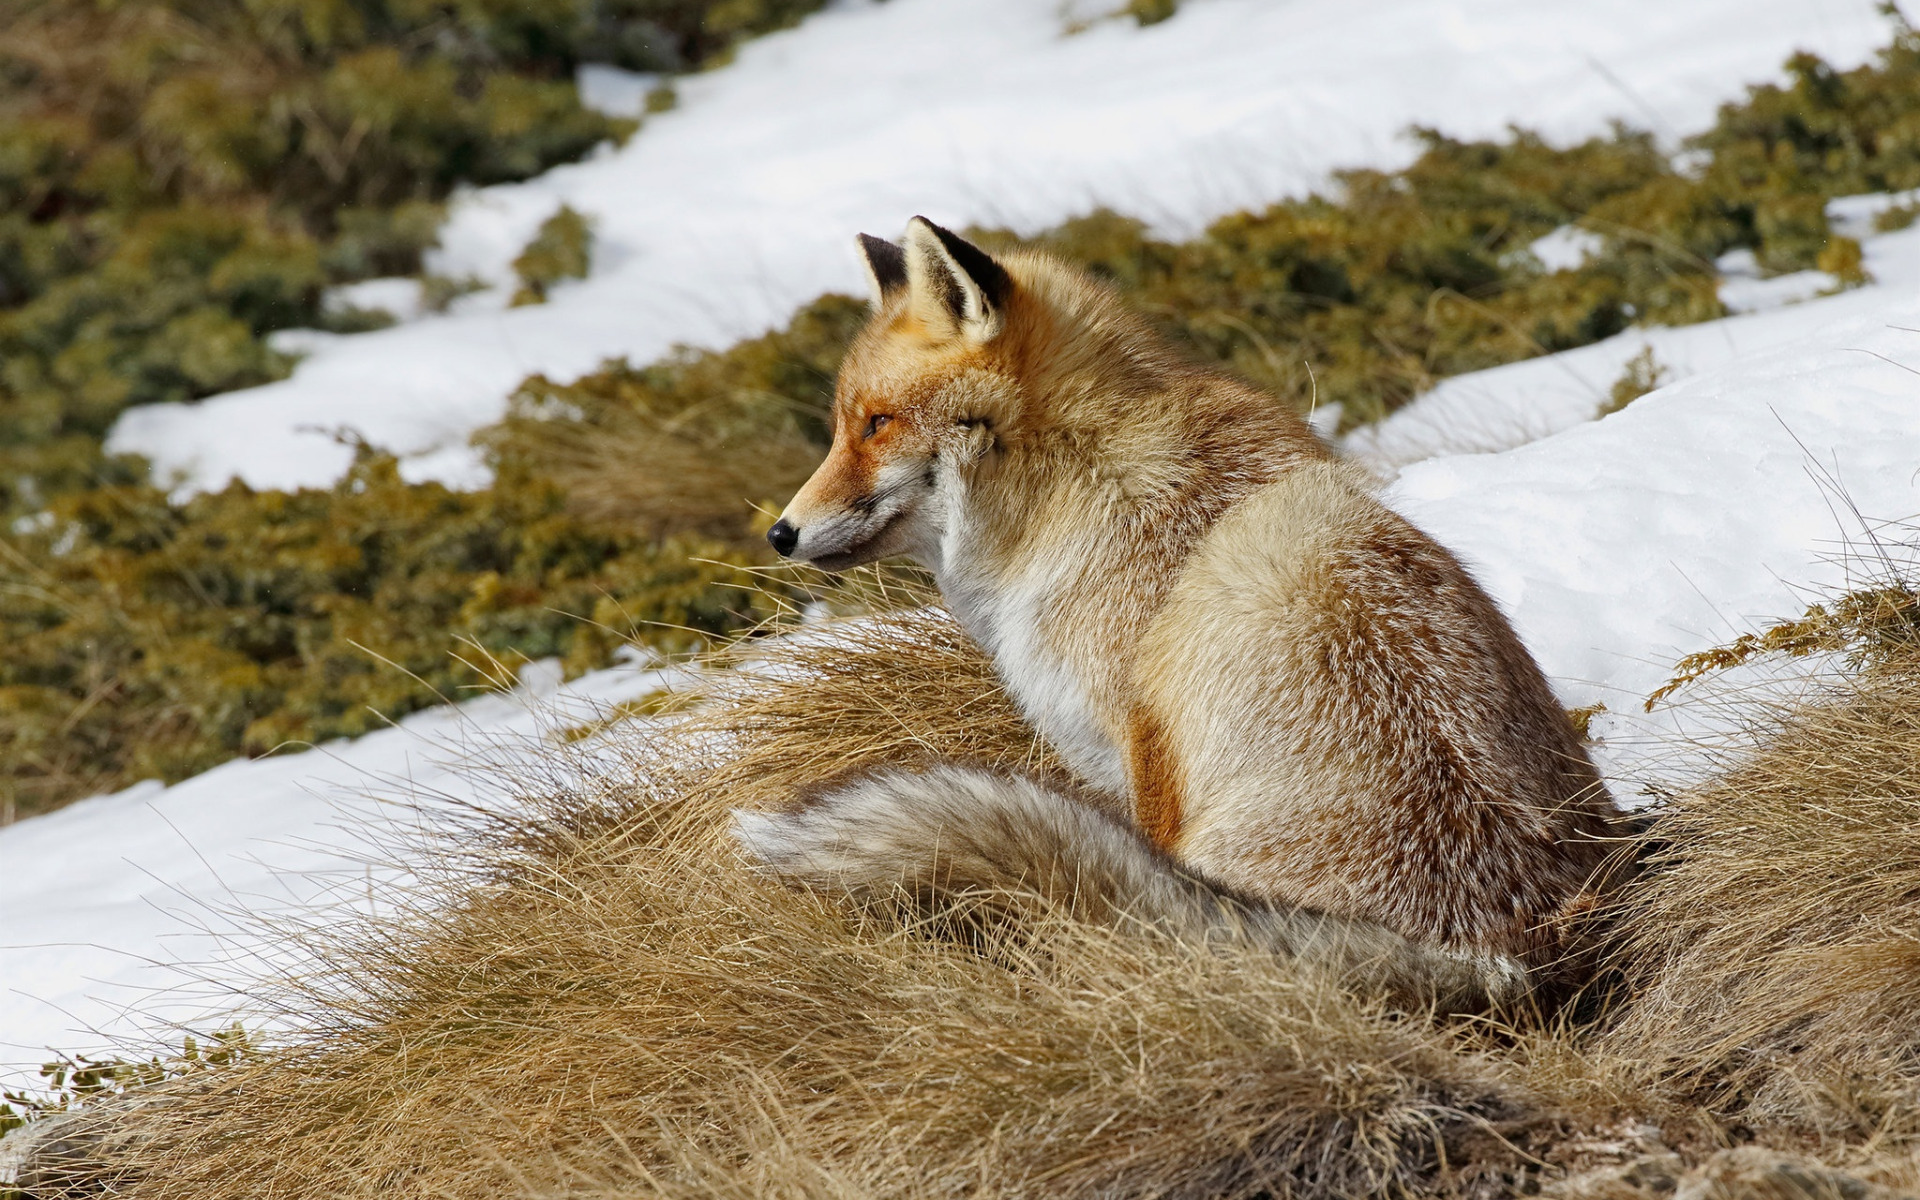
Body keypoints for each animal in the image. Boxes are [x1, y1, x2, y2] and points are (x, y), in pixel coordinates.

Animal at [733, 217, 1620, 1013]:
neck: (1077, 481)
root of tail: (1515, 958)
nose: (781, 534)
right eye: (846, 424)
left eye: (876, 424)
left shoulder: (1142, 745)